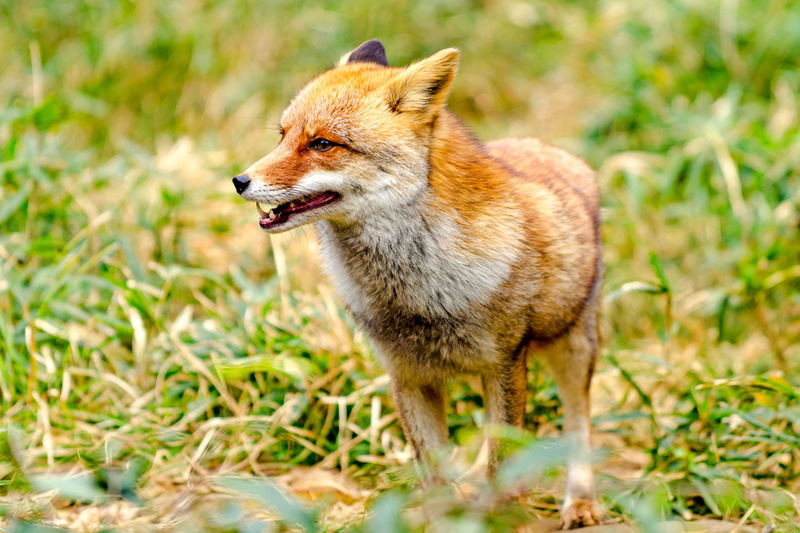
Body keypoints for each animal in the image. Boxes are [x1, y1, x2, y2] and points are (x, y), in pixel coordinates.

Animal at [232, 40, 603, 528]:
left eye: (323, 143)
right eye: (282, 136)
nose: (239, 181)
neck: (417, 293)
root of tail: (547, 148)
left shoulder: (504, 363)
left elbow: (502, 462)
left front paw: (499, 516)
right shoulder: (406, 374)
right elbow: (435, 473)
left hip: (574, 349)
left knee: (578, 426)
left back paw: (580, 501)